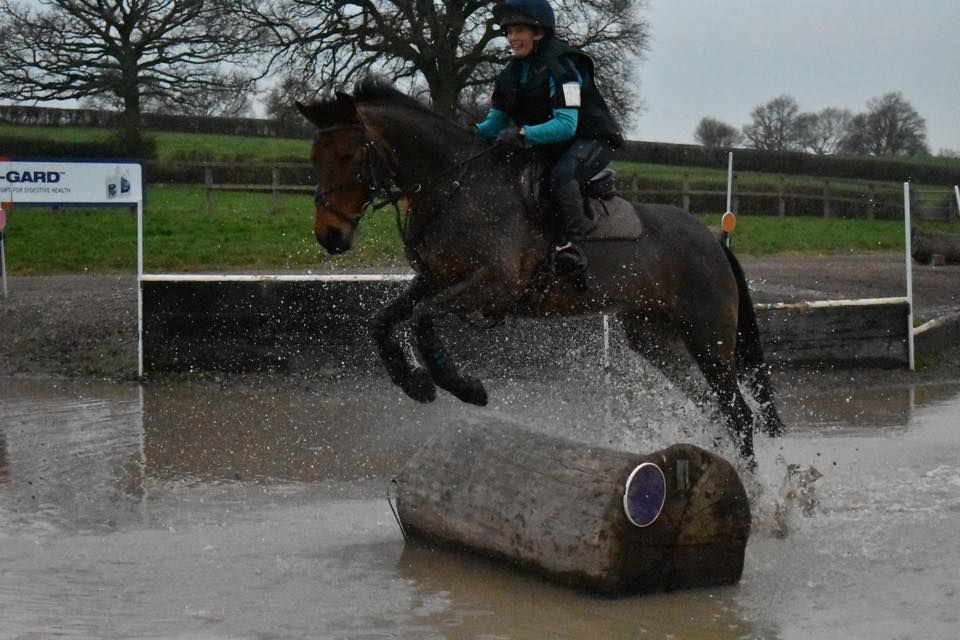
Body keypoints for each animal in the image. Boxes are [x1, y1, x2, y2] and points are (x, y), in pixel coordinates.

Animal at [296, 77, 784, 462]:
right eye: (314, 158)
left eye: (347, 155)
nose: (329, 235)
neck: (454, 187)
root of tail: (713, 239)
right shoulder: (435, 279)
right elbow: (385, 321)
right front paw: (413, 382)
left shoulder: (493, 286)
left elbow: (421, 319)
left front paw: (463, 386)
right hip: (654, 336)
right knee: (715, 408)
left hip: (707, 335)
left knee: (739, 414)